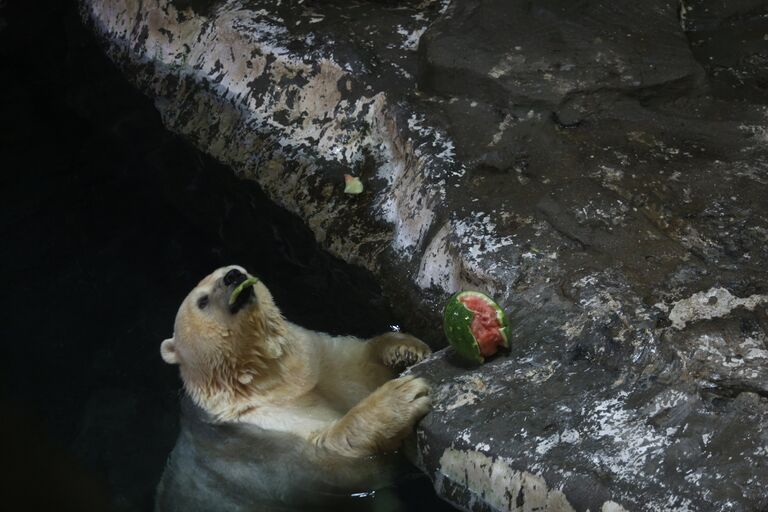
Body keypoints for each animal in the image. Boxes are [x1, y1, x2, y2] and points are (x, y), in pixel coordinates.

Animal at [160, 266, 432, 462]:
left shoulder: (314, 358)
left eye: (232, 267)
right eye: (202, 301)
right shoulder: (261, 422)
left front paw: (408, 349)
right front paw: (402, 396)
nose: (233, 276)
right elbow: (325, 444)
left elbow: (358, 368)